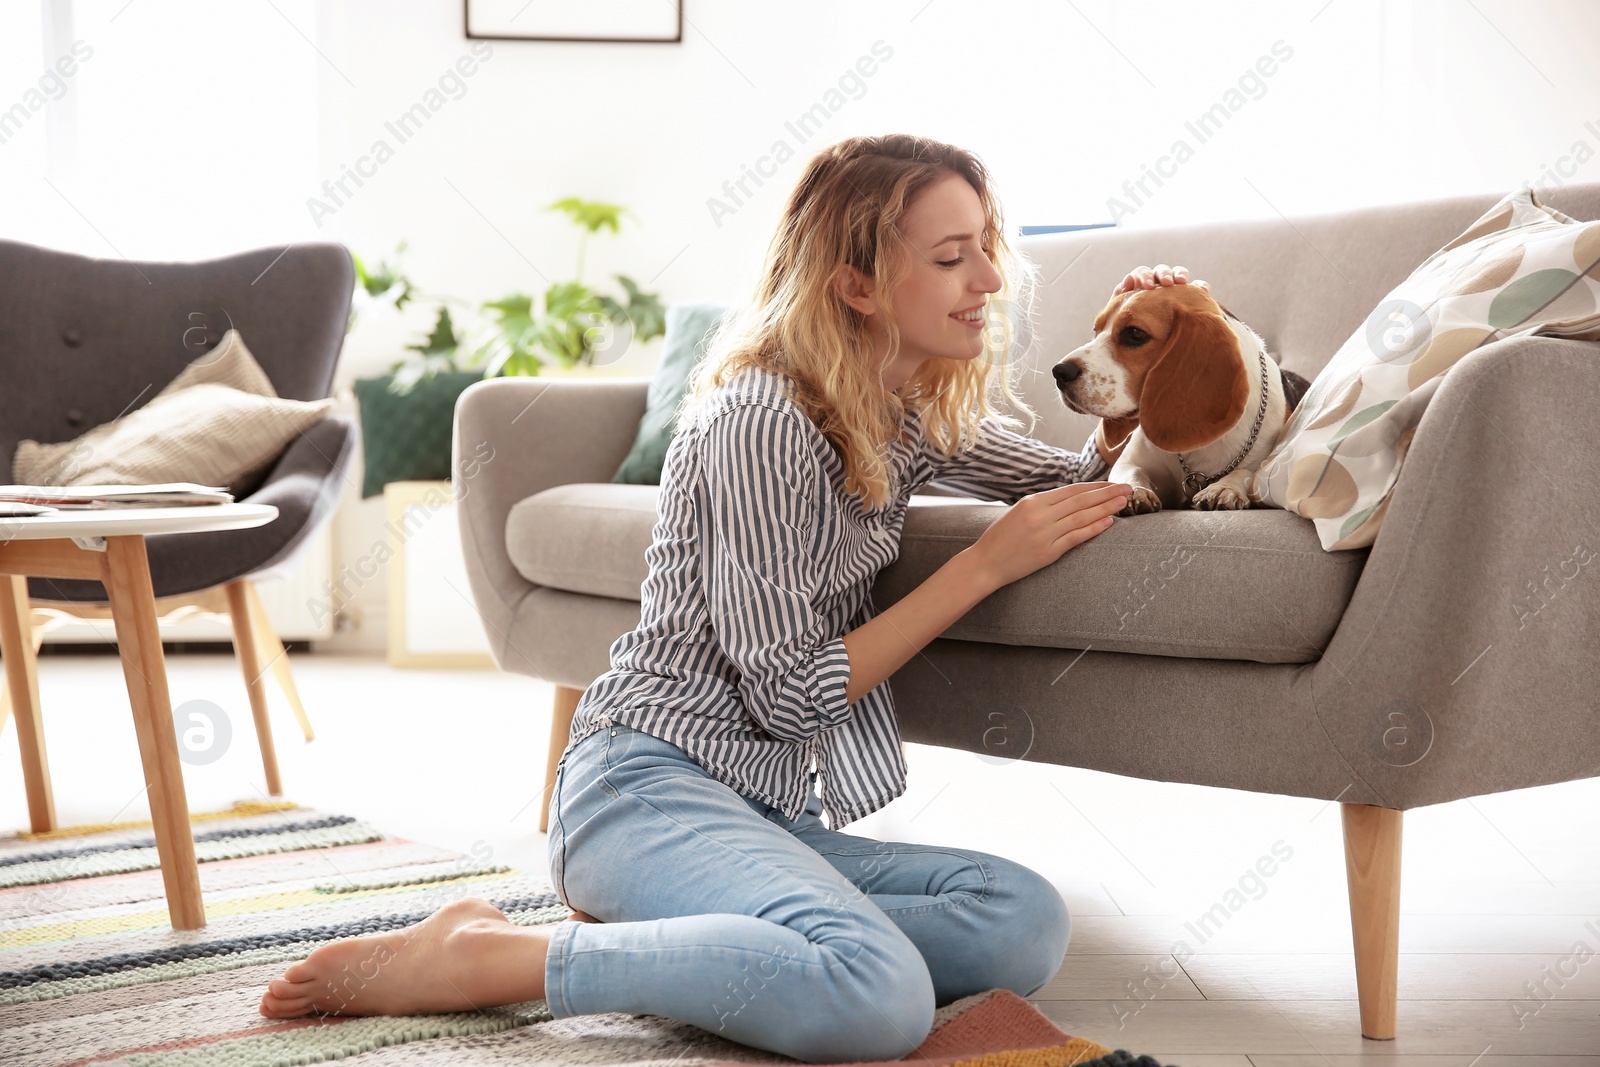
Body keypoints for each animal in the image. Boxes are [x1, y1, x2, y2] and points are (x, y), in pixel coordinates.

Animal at [1056, 283, 1305, 518]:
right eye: (1096, 330)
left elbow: (1249, 472)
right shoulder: (1130, 461)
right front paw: (1133, 490)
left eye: (1135, 333)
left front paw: (1224, 488)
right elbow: (1130, 471)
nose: (1059, 372)